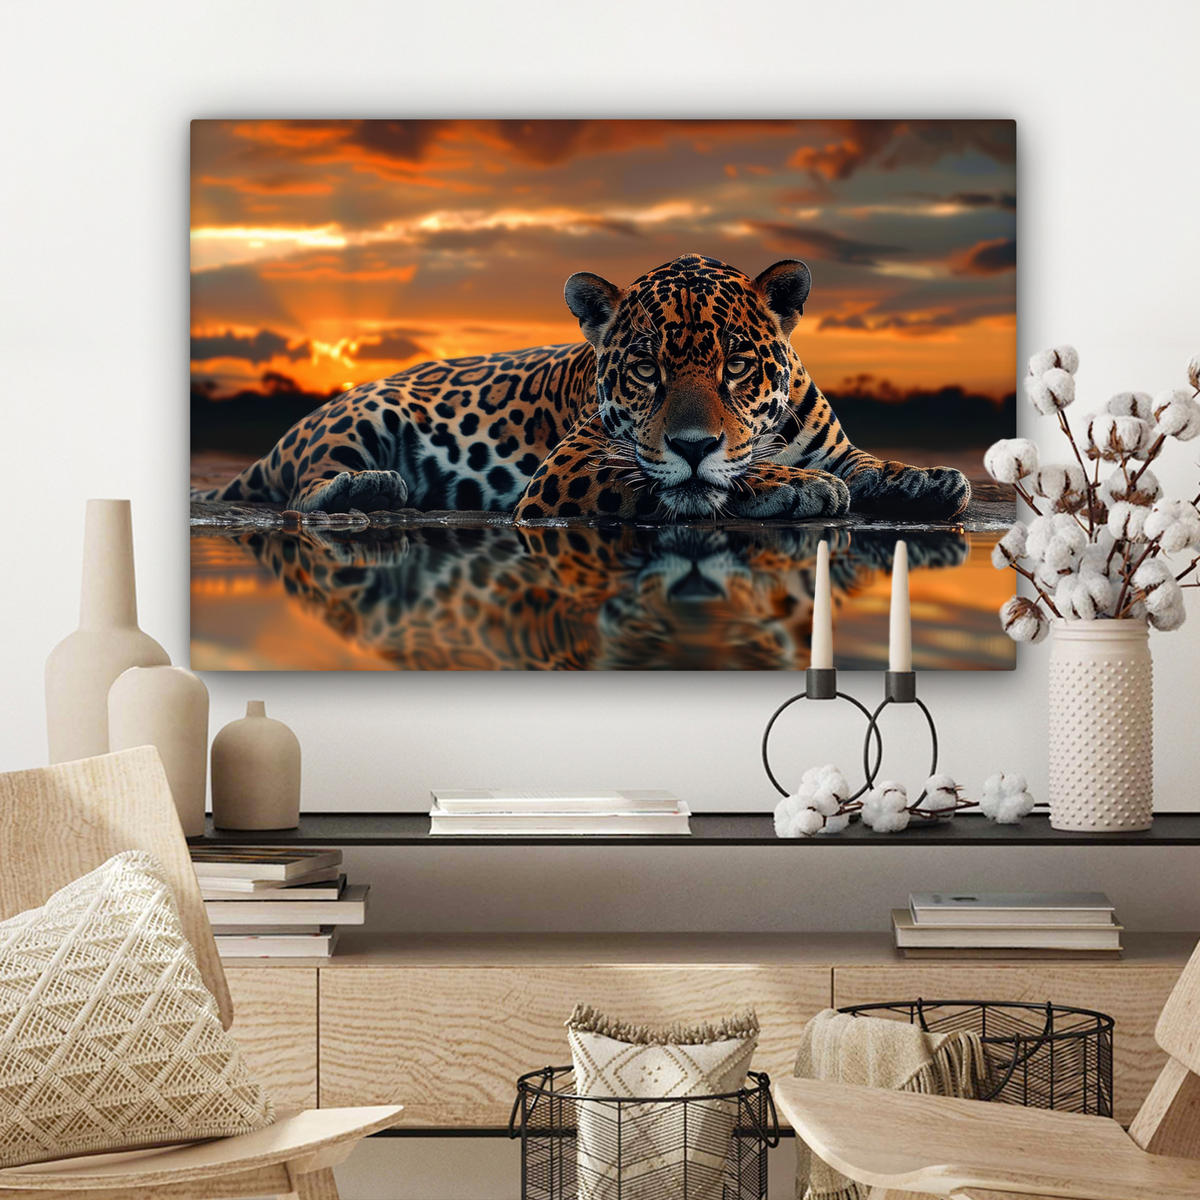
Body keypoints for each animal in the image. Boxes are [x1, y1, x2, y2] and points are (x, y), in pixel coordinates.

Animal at [194, 253, 971, 523]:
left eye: (737, 366)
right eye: (647, 369)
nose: (693, 442)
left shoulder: (835, 446)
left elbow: (868, 464)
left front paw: (928, 479)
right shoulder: (572, 466)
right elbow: (699, 479)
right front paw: (793, 485)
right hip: (361, 416)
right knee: (303, 489)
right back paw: (371, 488)